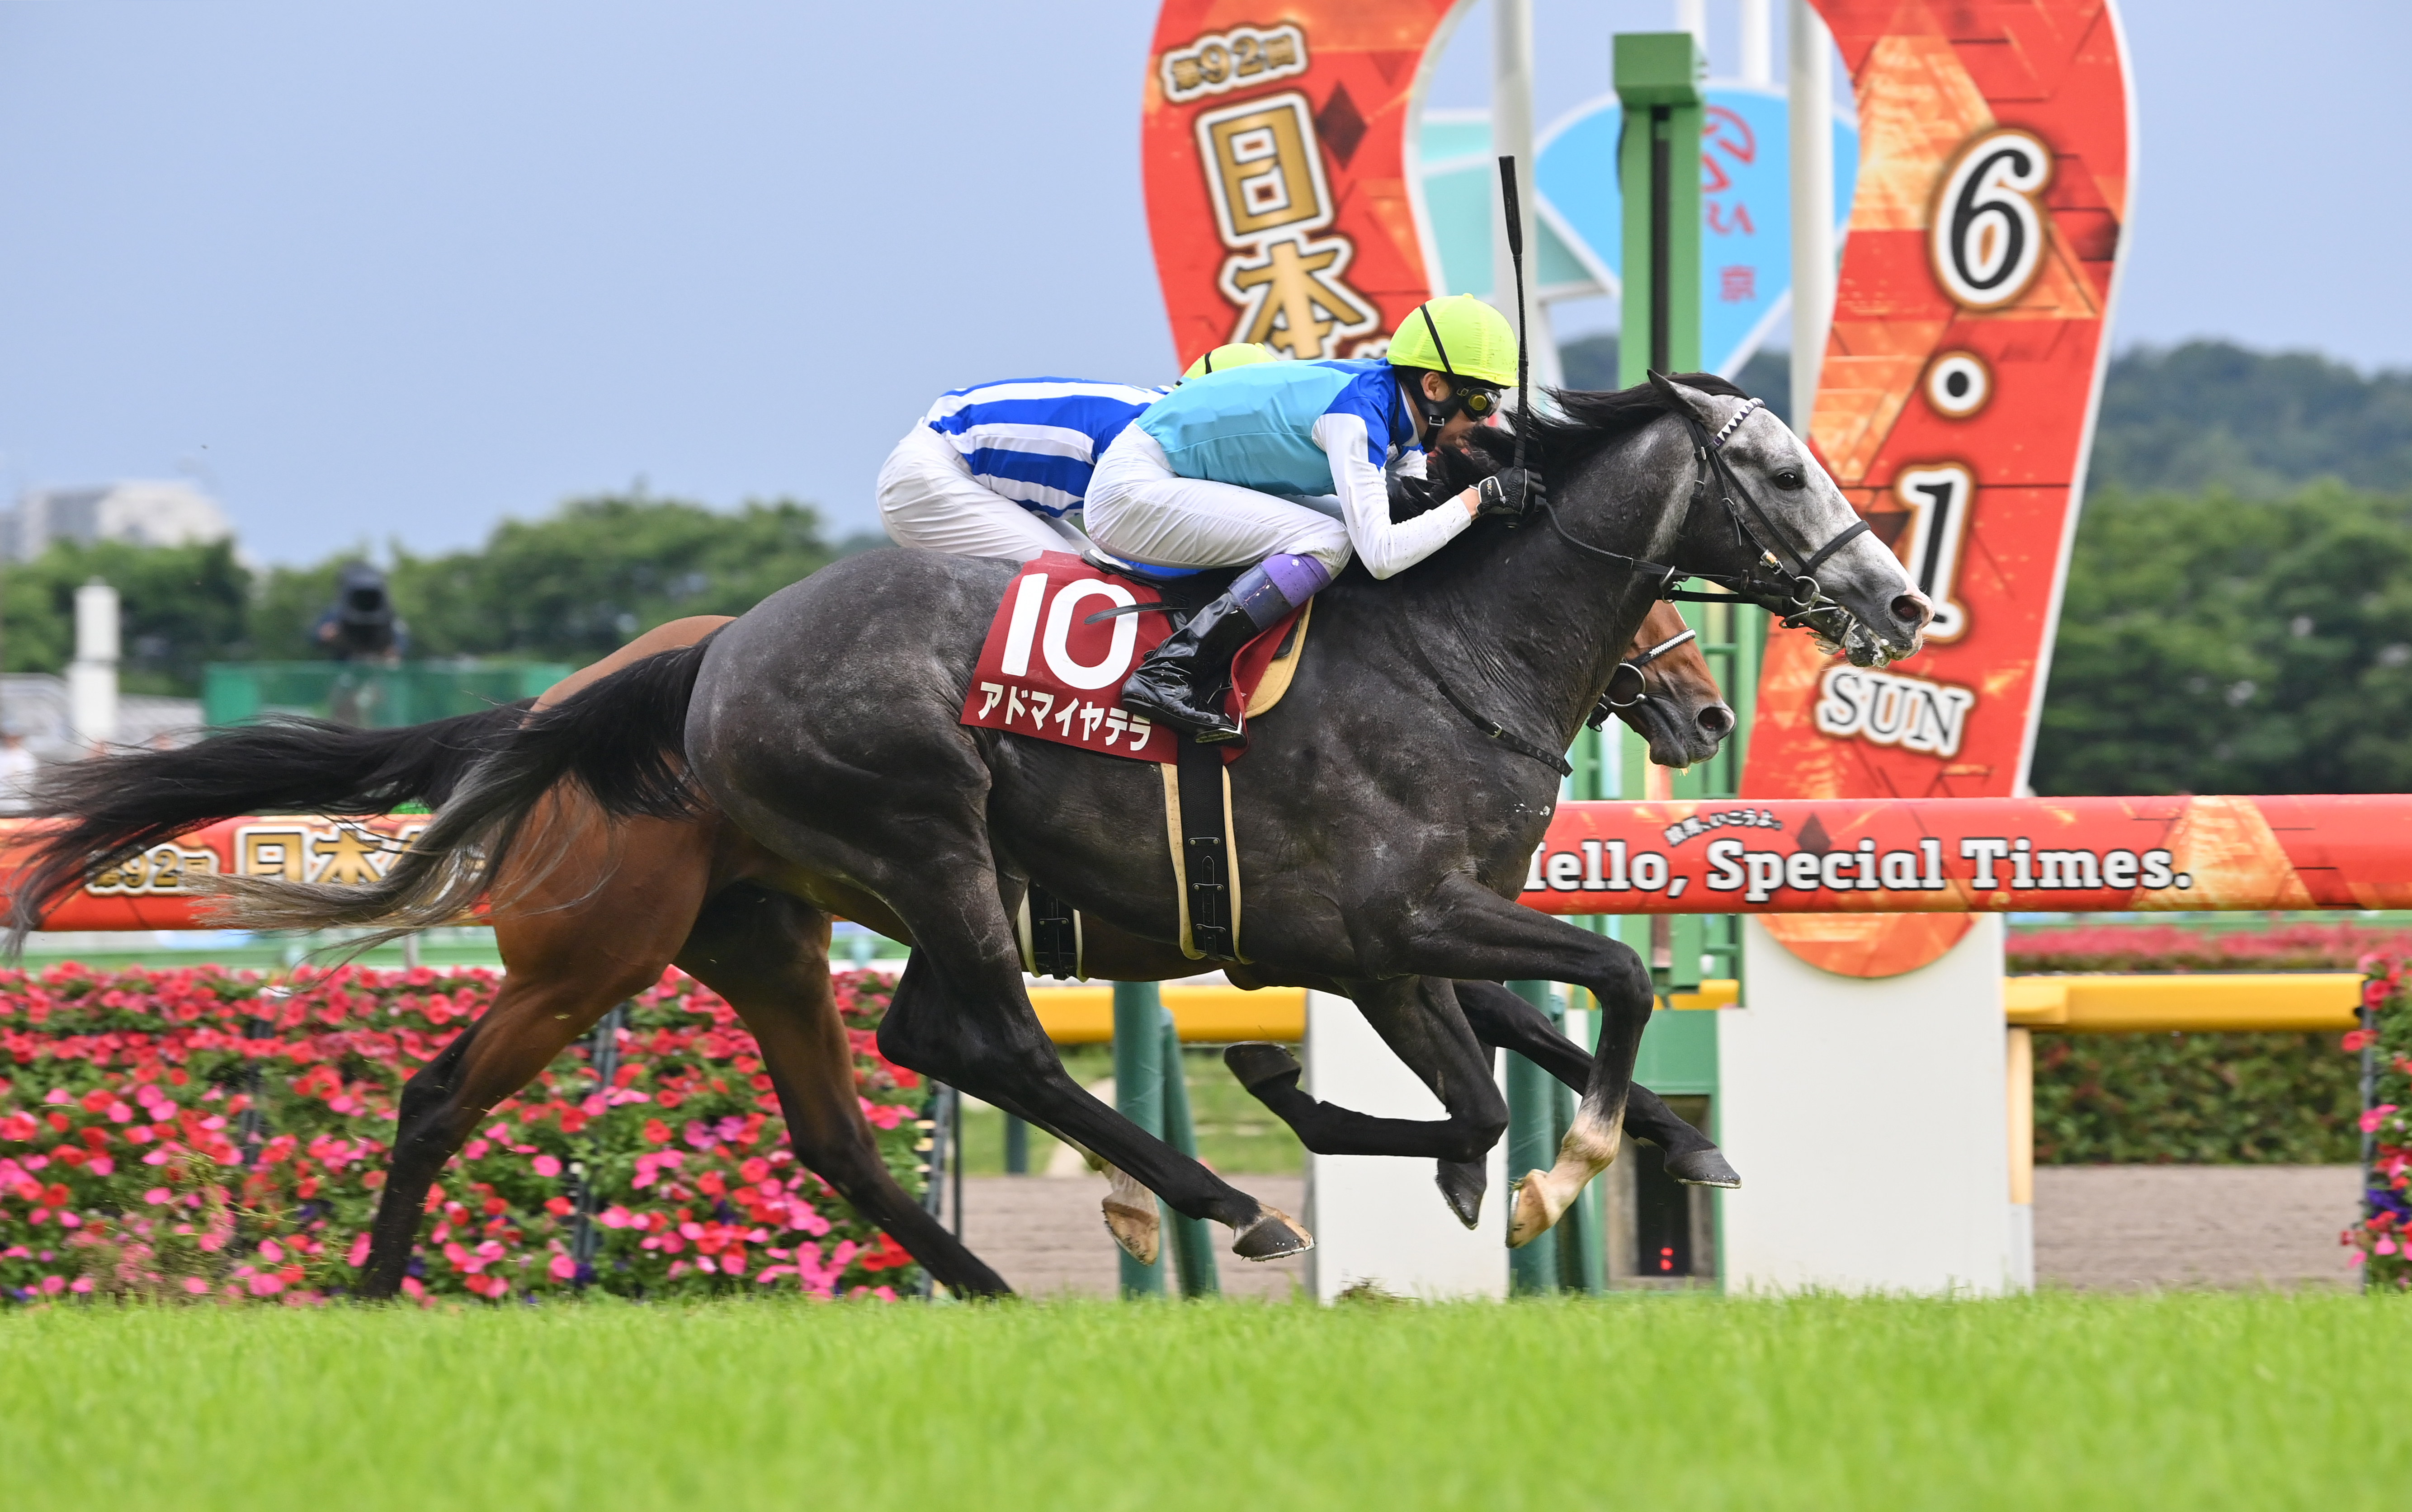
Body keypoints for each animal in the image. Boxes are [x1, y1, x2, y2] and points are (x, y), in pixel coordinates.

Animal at [187, 373, 1928, 1263]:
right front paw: (1535, 1173)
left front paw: (1666, 1151)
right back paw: (1223, 1203)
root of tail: (698, 661)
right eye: (1778, 471)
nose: (1899, 601)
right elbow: (1574, 1019)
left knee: (865, 1107)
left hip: (783, 919)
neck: (1448, 646)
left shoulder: (1389, 942)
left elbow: (1527, 1047)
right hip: (836, 867)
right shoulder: (1387, 921)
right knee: (994, 1048)